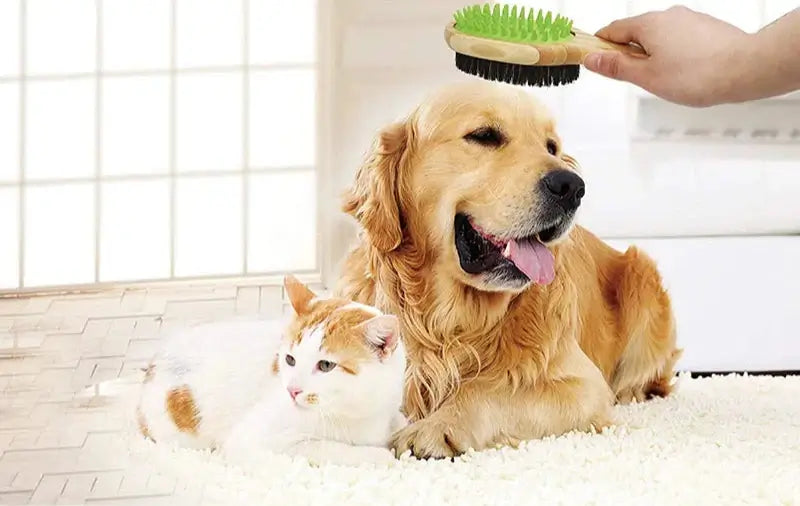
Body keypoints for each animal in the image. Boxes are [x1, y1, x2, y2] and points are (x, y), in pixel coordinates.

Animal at [136, 276, 406, 466]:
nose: (292, 390)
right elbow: (327, 449)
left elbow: (400, 421)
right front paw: (381, 455)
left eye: (326, 365)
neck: (359, 412)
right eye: (290, 359)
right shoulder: (254, 441)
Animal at [336, 80, 680, 458]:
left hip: (641, 274)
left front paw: (436, 427)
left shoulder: (582, 385)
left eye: (551, 146)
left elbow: (487, 390)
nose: (572, 187)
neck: (453, 322)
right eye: (484, 135)